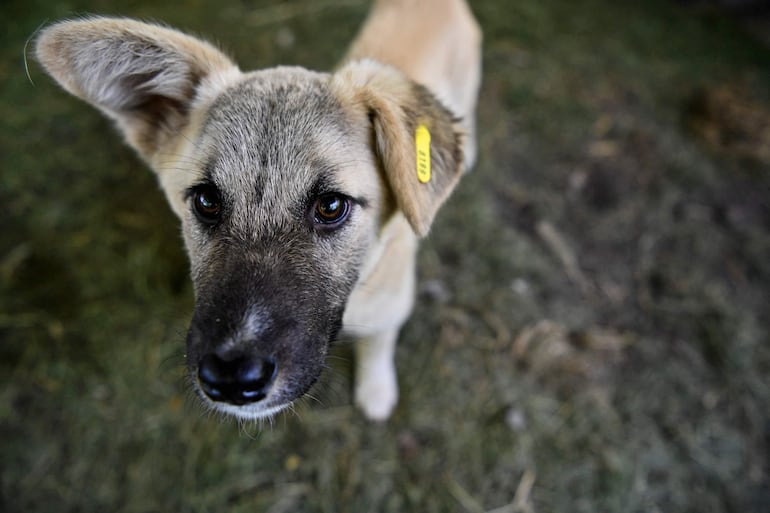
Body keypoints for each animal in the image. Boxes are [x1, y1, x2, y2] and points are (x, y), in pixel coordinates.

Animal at [37, 0, 480, 420]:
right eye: (206, 200)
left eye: (331, 206)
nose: (232, 378)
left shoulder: (391, 309)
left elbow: (377, 347)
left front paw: (376, 391)